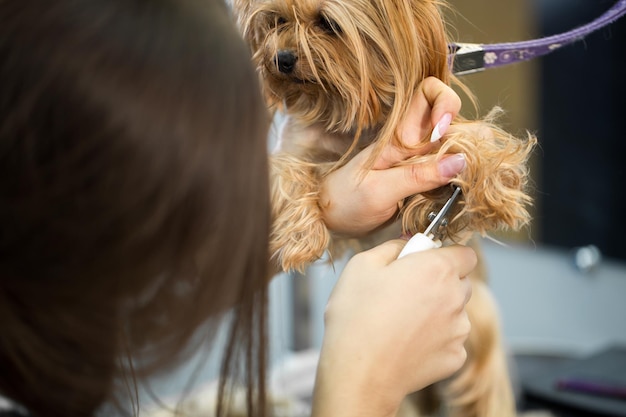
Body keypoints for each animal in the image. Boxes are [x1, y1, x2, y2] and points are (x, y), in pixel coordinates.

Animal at [232, 0, 532, 416]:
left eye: (328, 24)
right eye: (276, 20)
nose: (282, 58)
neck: (339, 108)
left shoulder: (423, 129)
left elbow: (463, 139)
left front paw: (493, 188)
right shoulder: (297, 149)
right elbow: (285, 172)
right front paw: (300, 236)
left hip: (482, 335)